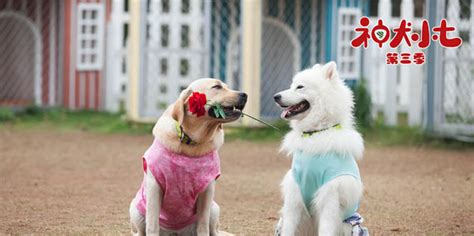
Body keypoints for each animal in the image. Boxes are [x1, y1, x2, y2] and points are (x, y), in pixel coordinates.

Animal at [272, 61, 368, 235]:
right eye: (291, 85)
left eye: (300, 87)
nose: (276, 97)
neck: (315, 132)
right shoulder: (294, 196)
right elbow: (288, 227)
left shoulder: (330, 196)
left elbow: (326, 228)